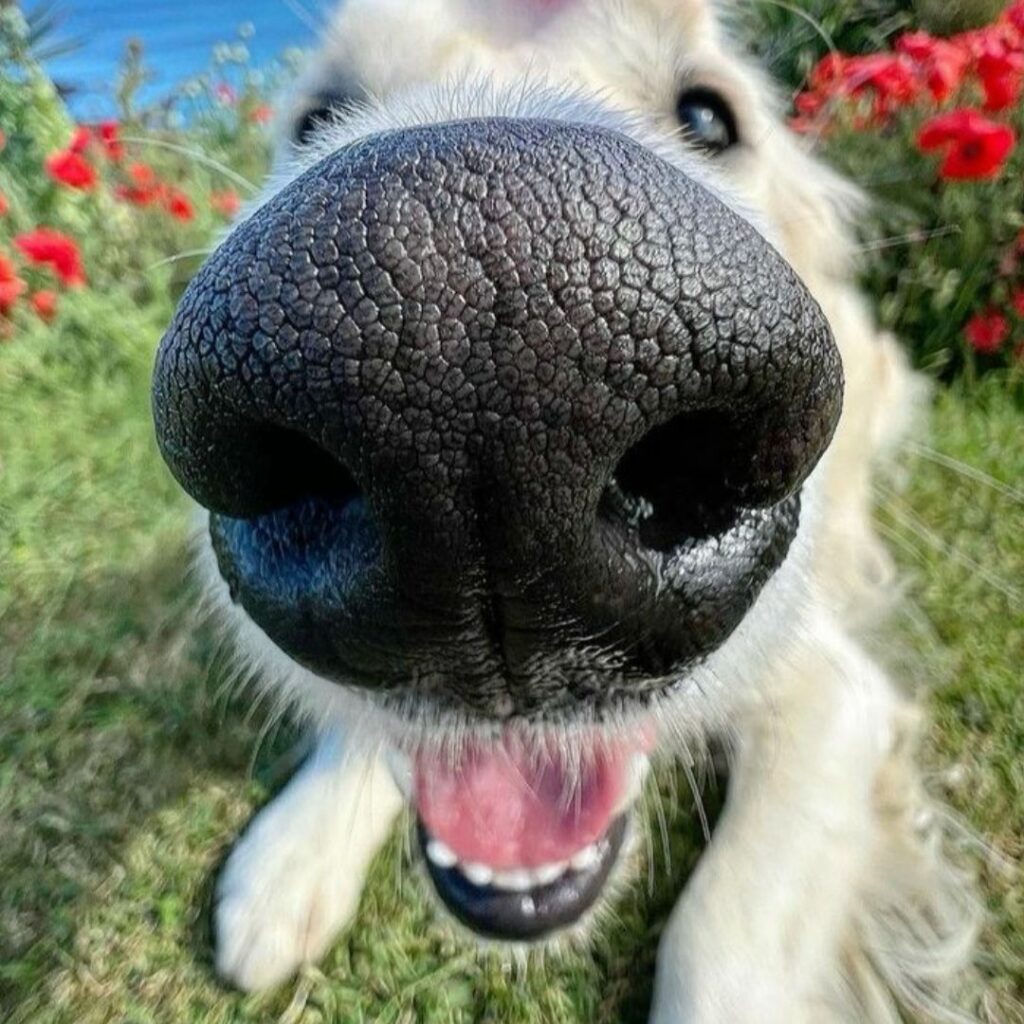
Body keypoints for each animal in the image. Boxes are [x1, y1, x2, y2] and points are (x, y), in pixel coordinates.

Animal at [148, 4, 978, 1019]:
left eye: (709, 117)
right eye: (315, 120)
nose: (476, 369)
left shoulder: (833, 690)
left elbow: (720, 934)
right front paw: (295, 849)